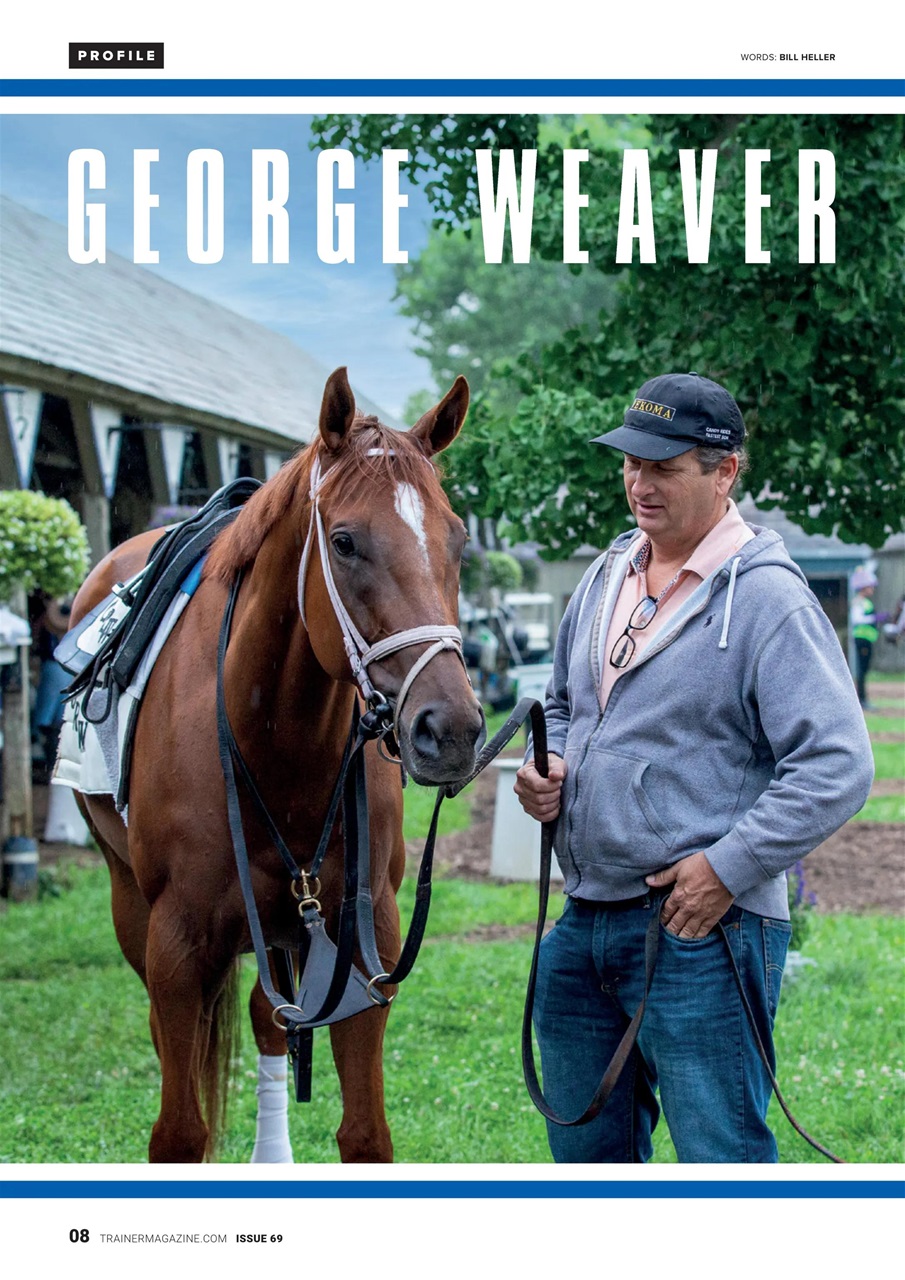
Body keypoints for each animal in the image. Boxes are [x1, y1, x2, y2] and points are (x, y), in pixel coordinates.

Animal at [69, 368, 485, 1163]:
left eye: (457, 541)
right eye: (345, 542)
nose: (449, 729)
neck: (276, 743)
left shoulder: (364, 937)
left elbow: (364, 1132)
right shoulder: (177, 945)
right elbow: (178, 1132)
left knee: (269, 1019)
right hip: (132, 903)